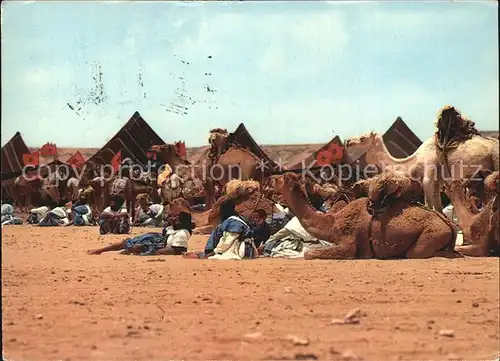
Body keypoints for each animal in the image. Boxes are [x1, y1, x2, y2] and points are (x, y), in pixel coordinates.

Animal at [272, 172, 458, 258]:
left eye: (280, 179)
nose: (270, 178)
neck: (333, 222)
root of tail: (449, 224)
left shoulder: (348, 242)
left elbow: (309, 254)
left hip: (433, 234)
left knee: (417, 253)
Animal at [346, 105, 498, 211]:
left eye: (363, 138)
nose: (348, 141)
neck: (414, 162)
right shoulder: (437, 183)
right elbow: (438, 209)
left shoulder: (428, 178)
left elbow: (430, 207)